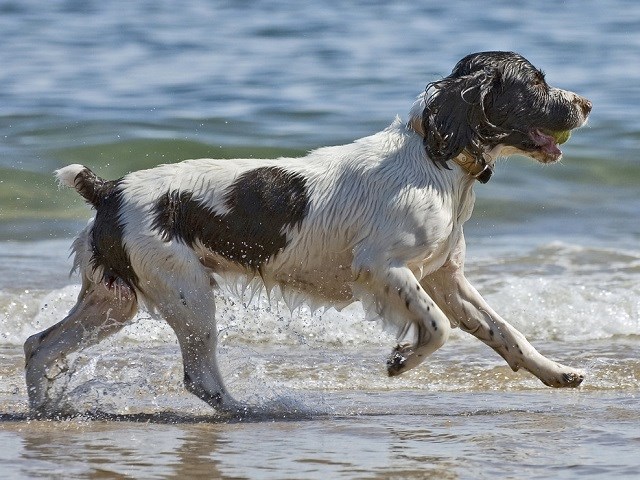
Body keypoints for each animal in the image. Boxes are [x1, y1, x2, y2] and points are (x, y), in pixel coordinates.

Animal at [26, 50, 596, 414]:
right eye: (535, 83)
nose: (587, 104)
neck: (433, 159)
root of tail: (108, 189)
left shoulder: (445, 278)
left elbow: (505, 332)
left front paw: (557, 372)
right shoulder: (383, 267)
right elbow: (437, 328)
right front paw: (401, 361)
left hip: (114, 300)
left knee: (38, 345)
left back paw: (45, 407)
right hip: (187, 294)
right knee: (200, 376)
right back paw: (252, 411)